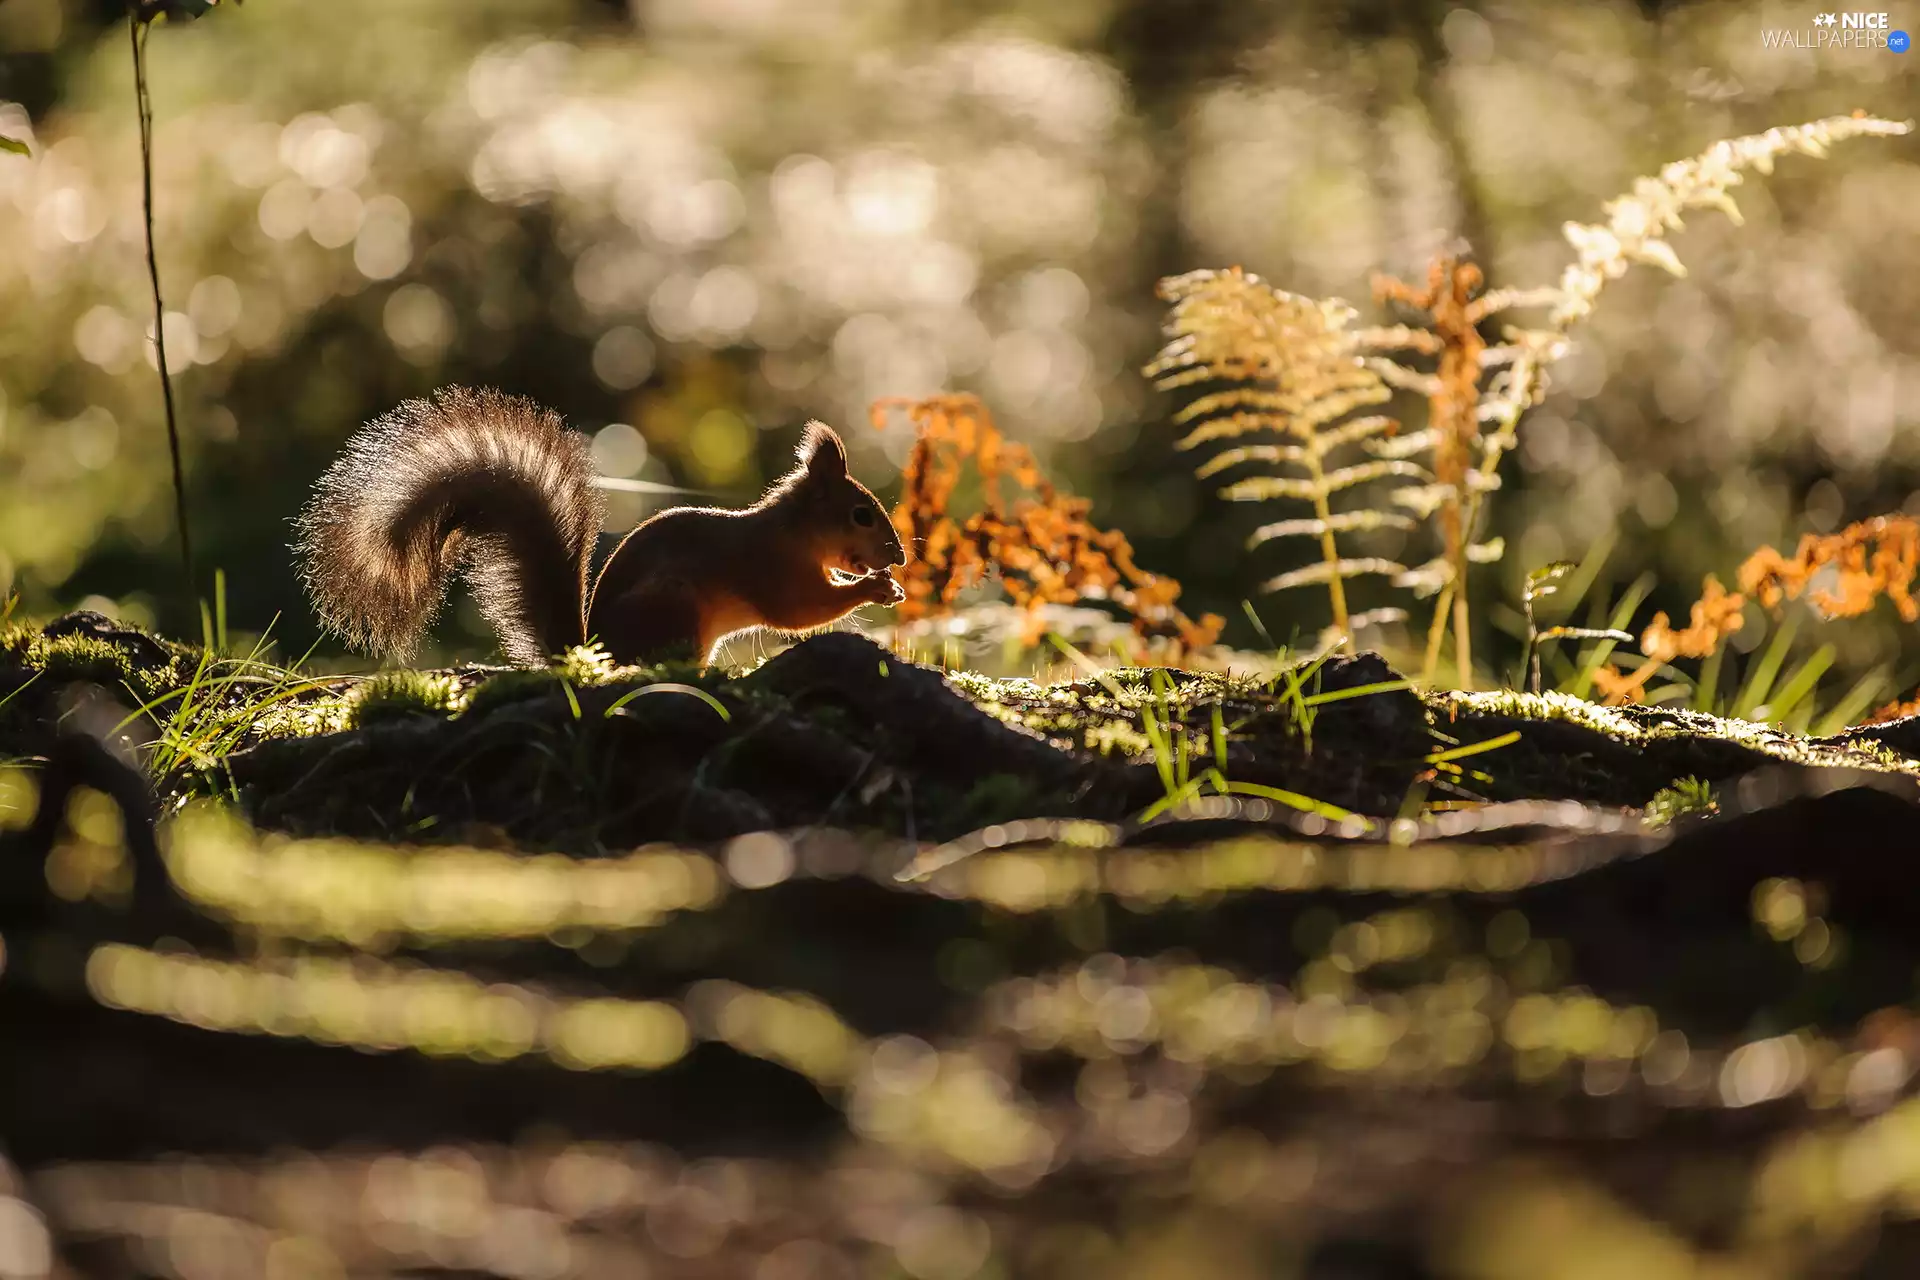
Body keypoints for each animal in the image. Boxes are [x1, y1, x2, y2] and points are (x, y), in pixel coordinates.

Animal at [293, 386, 907, 667]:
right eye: (861, 513)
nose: (899, 557)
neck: (792, 531)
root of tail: (592, 648)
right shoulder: (770, 569)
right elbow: (801, 612)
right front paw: (877, 588)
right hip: (674, 609)